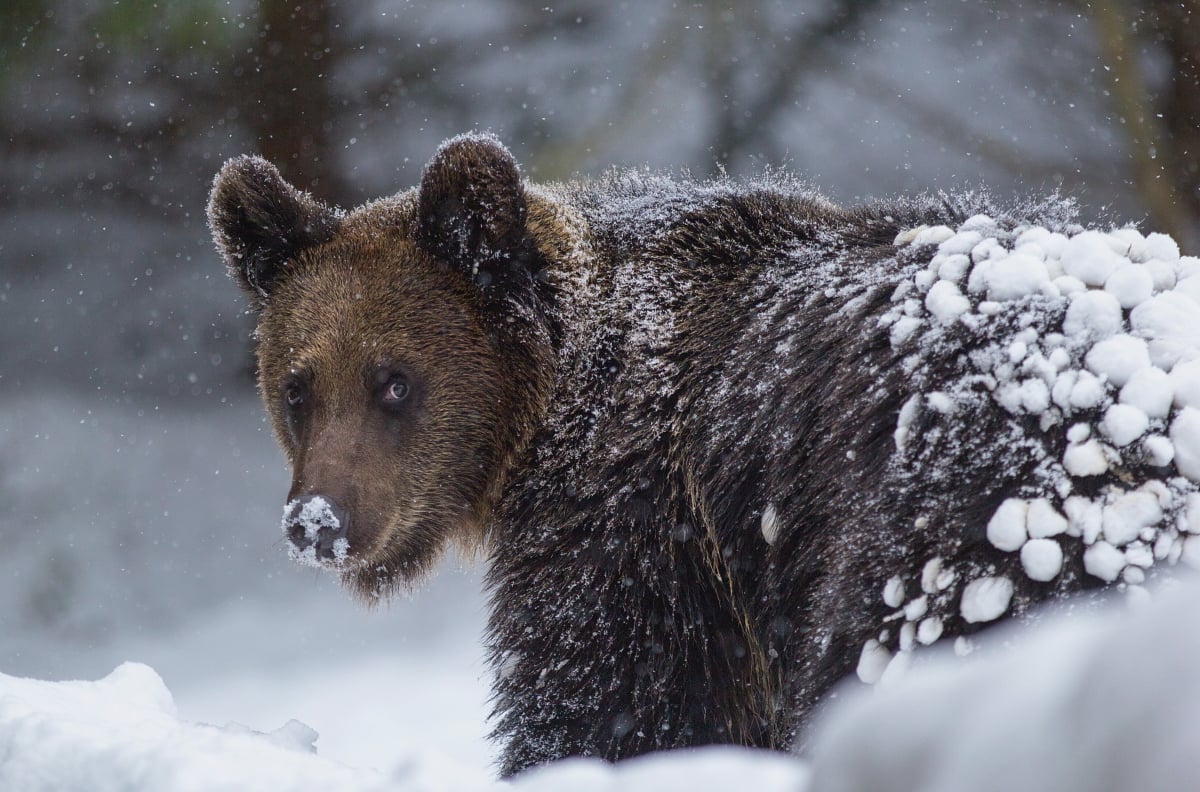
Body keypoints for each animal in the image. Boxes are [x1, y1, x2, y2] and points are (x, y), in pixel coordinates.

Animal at [208, 134, 1200, 772]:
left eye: (394, 381)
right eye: (297, 386)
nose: (318, 521)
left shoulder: (646, 530)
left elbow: (616, 707)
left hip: (955, 523)